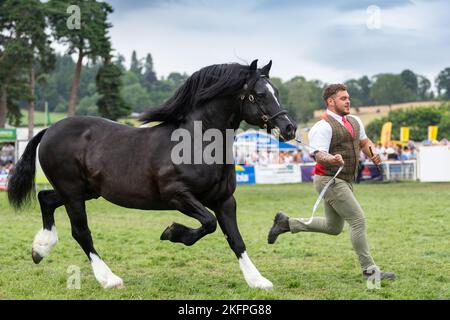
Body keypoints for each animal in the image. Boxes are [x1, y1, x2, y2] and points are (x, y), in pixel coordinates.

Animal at [7, 58, 296, 288]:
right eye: (258, 94)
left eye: (277, 91)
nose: (289, 128)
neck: (197, 142)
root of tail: (50, 130)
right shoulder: (177, 195)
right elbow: (209, 223)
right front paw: (172, 232)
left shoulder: (225, 200)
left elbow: (235, 239)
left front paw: (258, 281)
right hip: (73, 193)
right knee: (81, 232)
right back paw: (108, 279)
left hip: (83, 191)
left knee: (45, 198)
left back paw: (40, 249)